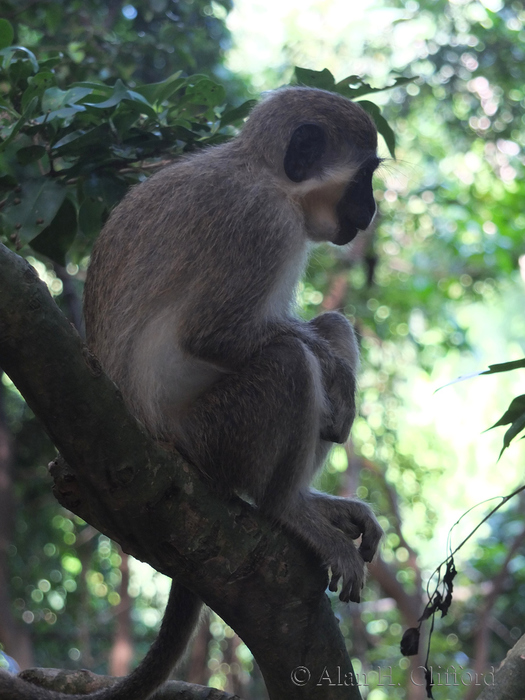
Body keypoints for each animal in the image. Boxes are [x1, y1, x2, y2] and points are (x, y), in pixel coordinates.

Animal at [0, 87, 383, 700]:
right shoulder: (261, 224)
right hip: (211, 438)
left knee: (331, 325)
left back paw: (311, 501)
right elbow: (213, 335)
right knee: (288, 362)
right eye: (363, 177)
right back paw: (286, 508)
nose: (369, 212)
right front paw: (330, 371)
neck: (265, 174)